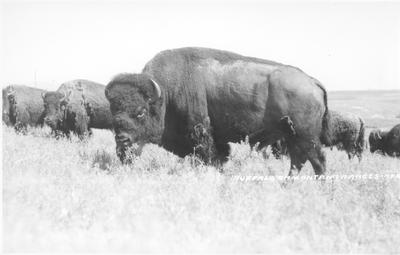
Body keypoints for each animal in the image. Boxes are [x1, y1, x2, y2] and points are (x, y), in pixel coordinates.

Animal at [105, 46, 332, 176]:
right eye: (113, 110)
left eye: (141, 112)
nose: (122, 140)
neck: (166, 94)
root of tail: (312, 82)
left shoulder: (201, 134)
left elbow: (209, 158)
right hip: (292, 136)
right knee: (298, 162)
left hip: (306, 137)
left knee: (317, 162)